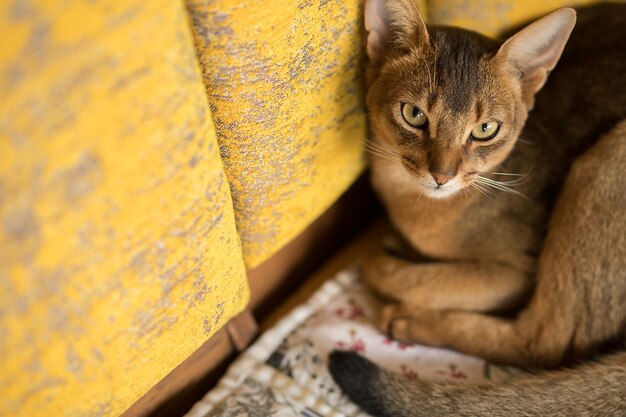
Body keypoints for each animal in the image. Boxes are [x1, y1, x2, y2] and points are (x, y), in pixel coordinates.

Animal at [326, 1, 624, 414]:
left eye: (485, 129)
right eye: (413, 114)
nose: (442, 175)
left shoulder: (518, 271)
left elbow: (413, 276)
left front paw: (388, 260)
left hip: (606, 160)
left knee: (543, 344)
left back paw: (408, 320)